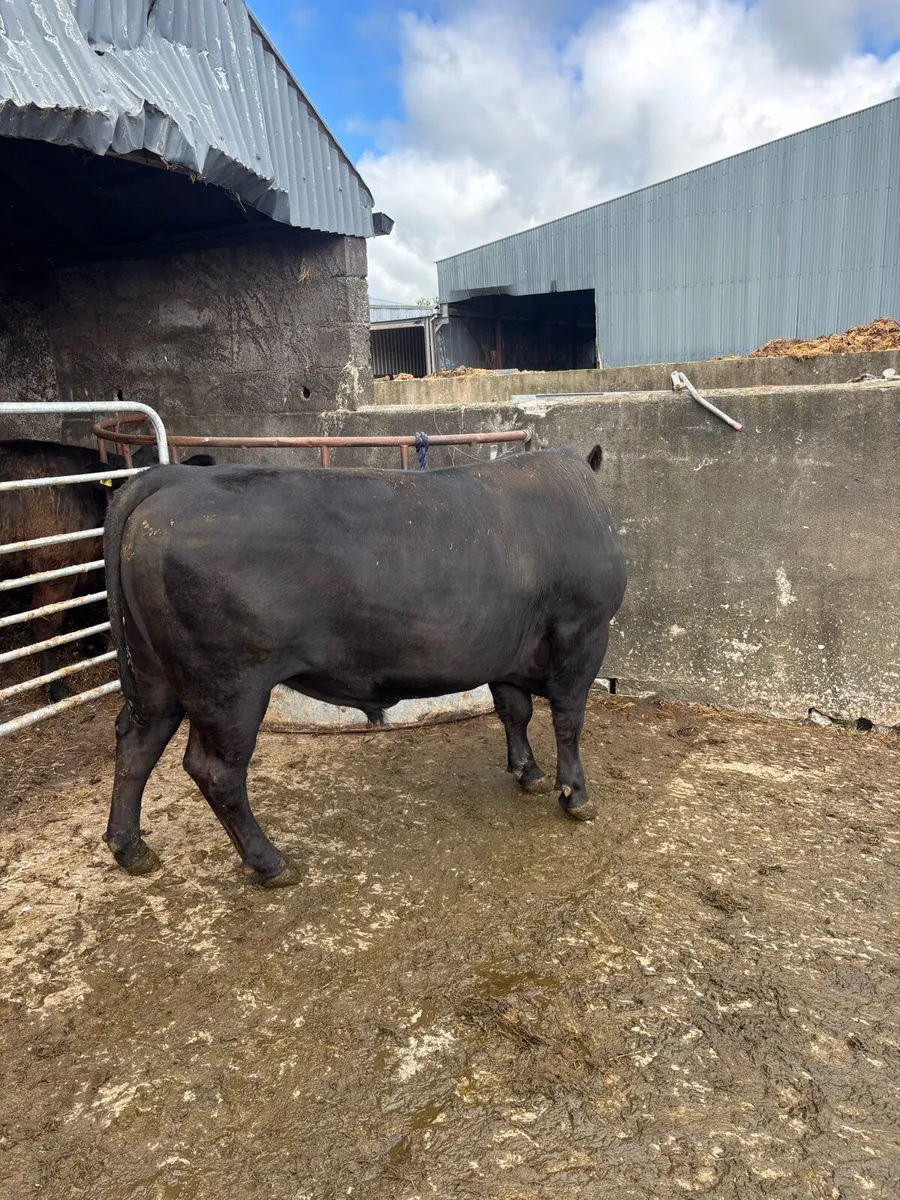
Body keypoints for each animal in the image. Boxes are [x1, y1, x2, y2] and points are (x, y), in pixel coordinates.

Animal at [0, 440, 214, 702]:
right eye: (125, 484)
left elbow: (86, 604)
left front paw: (92, 645)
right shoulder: (54, 572)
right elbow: (48, 626)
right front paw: (55, 686)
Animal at [102, 445, 627, 888]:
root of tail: (174, 478)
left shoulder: (508, 649)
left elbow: (515, 711)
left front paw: (528, 773)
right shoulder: (582, 631)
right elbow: (568, 718)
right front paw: (575, 794)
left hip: (158, 673)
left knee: (137, 741)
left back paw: (130, 849)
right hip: (229, 684)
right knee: (215, 769)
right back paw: (270, 863)